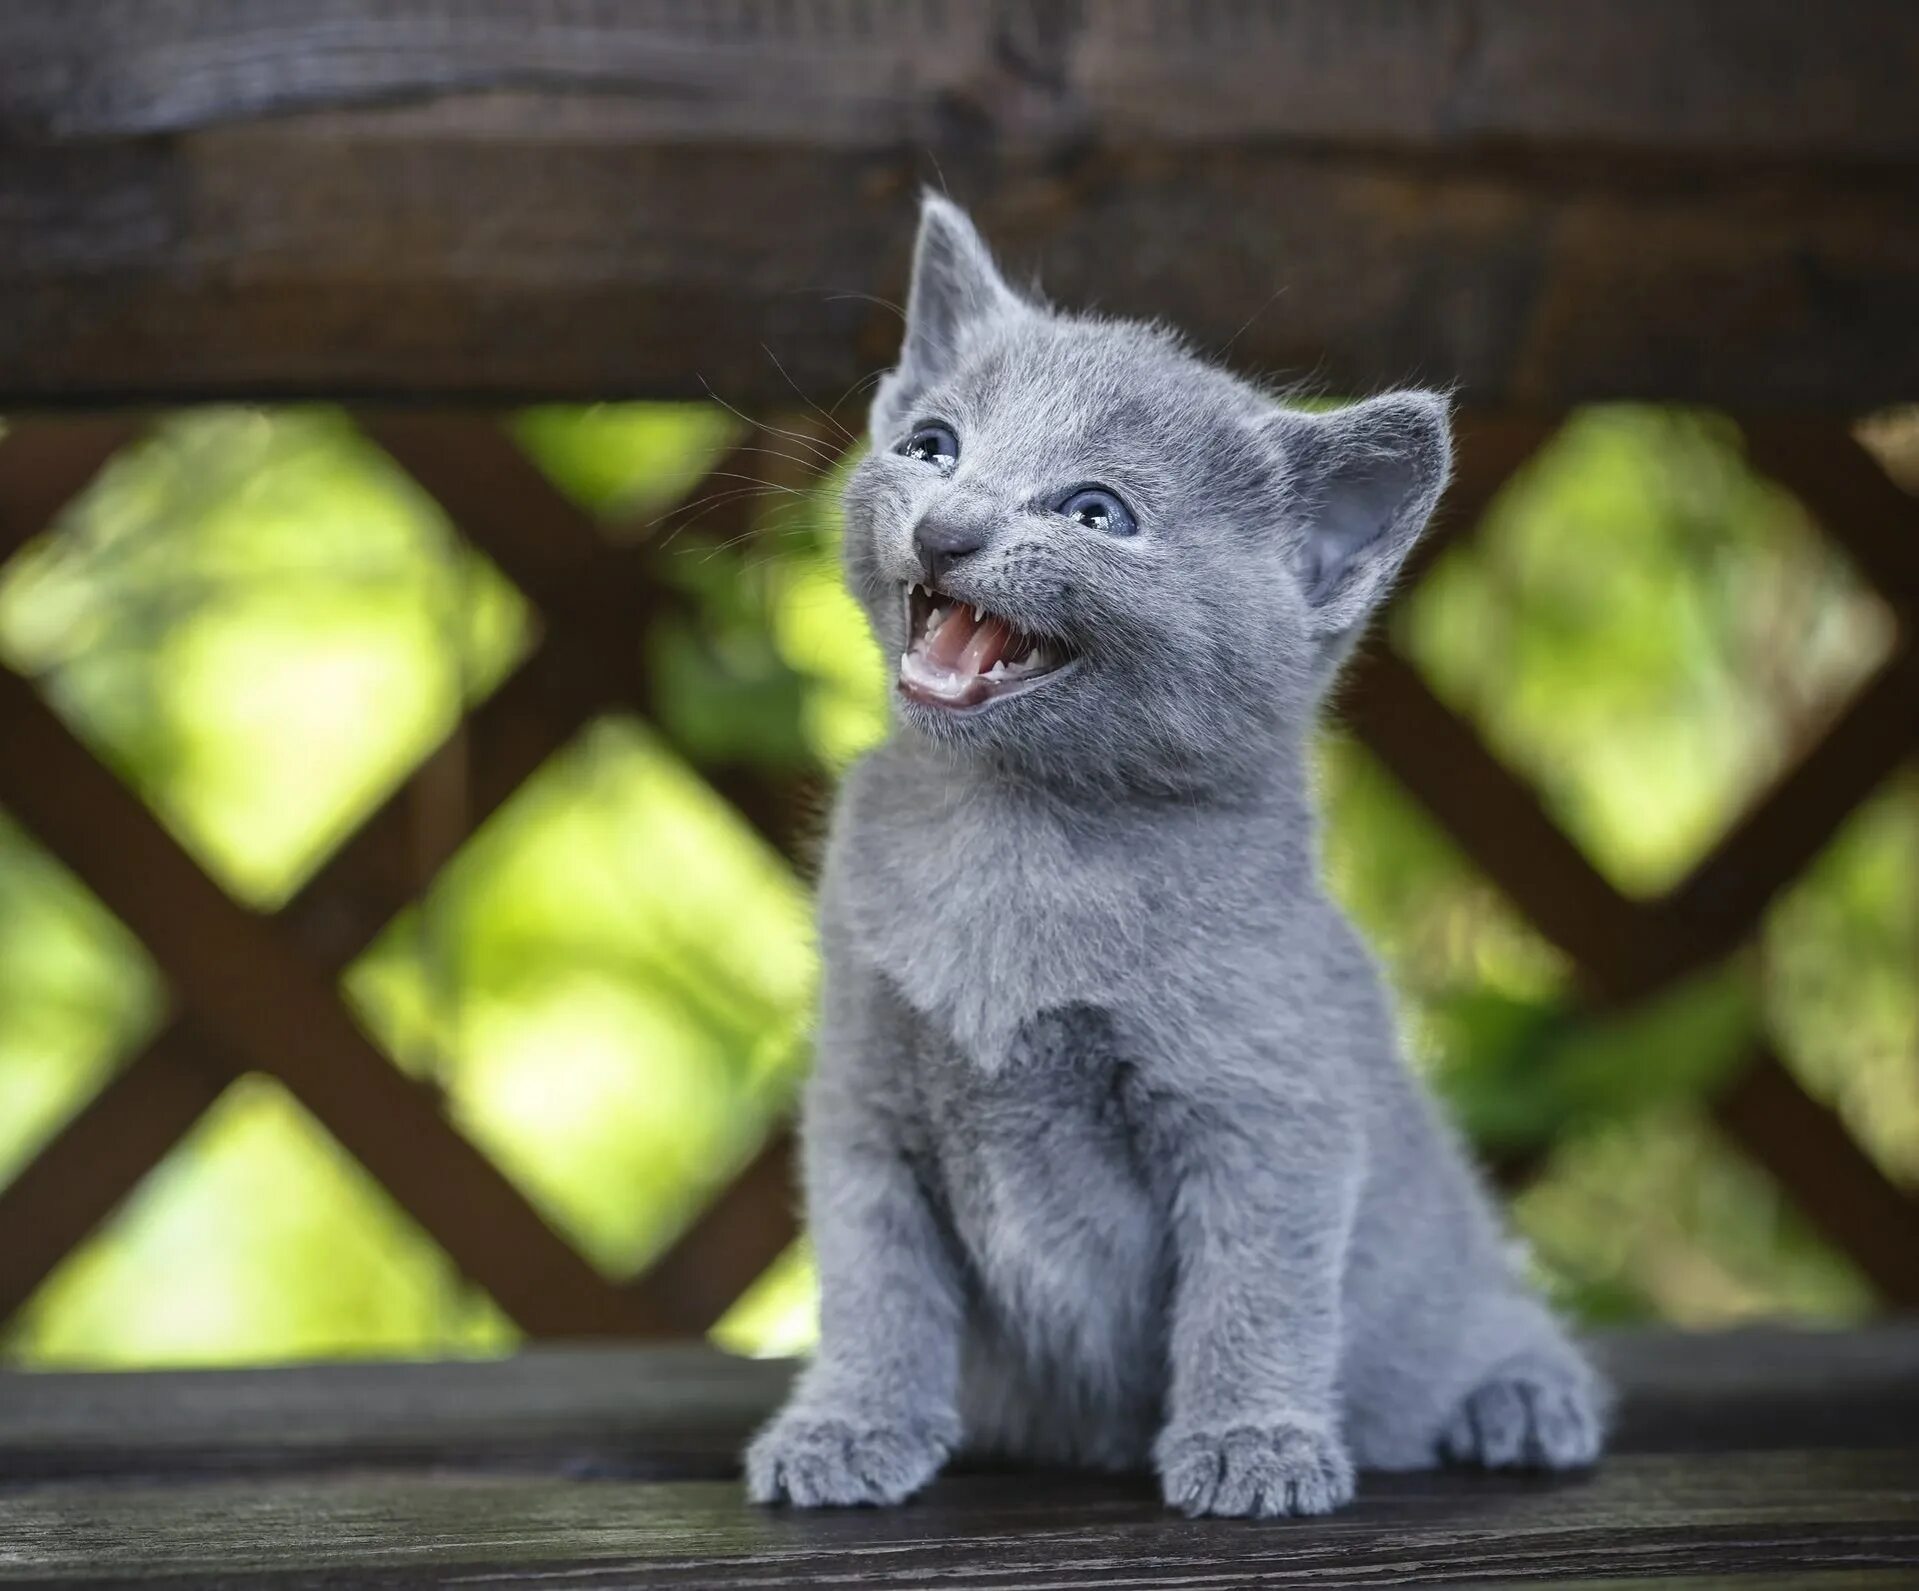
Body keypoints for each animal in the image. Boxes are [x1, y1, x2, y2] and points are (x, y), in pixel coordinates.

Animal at [748, 195, 1604, 1512]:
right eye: (933, 446)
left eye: (1095, 515)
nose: (946, 527)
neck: (1015, 836)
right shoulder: (864, 1095)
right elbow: (873, 1283)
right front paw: (846, 1425)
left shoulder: (1265, 1108)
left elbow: (1251, 1289)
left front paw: (1253, 1444)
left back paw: (1518, 1398)